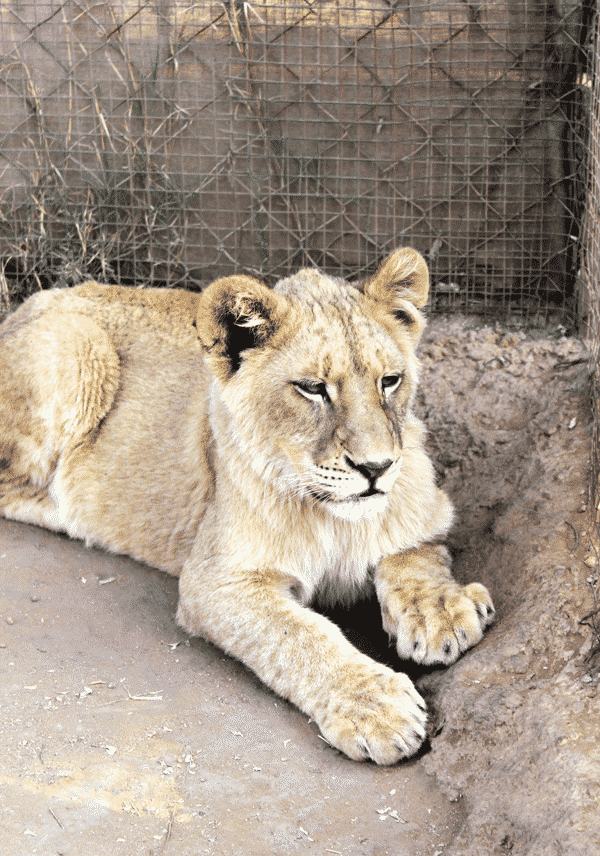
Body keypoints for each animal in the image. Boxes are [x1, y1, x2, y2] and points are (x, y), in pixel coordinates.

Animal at [0, 246, 492, 764]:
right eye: (312, 388)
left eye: (390, 381)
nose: (375, 468)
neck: (334, 519)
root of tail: (25, 306)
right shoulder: (217, 579)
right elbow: (299, 636)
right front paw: (377, 707)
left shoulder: (424, 512)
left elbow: (415, 557)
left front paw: (442, 612)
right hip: (76, 348)